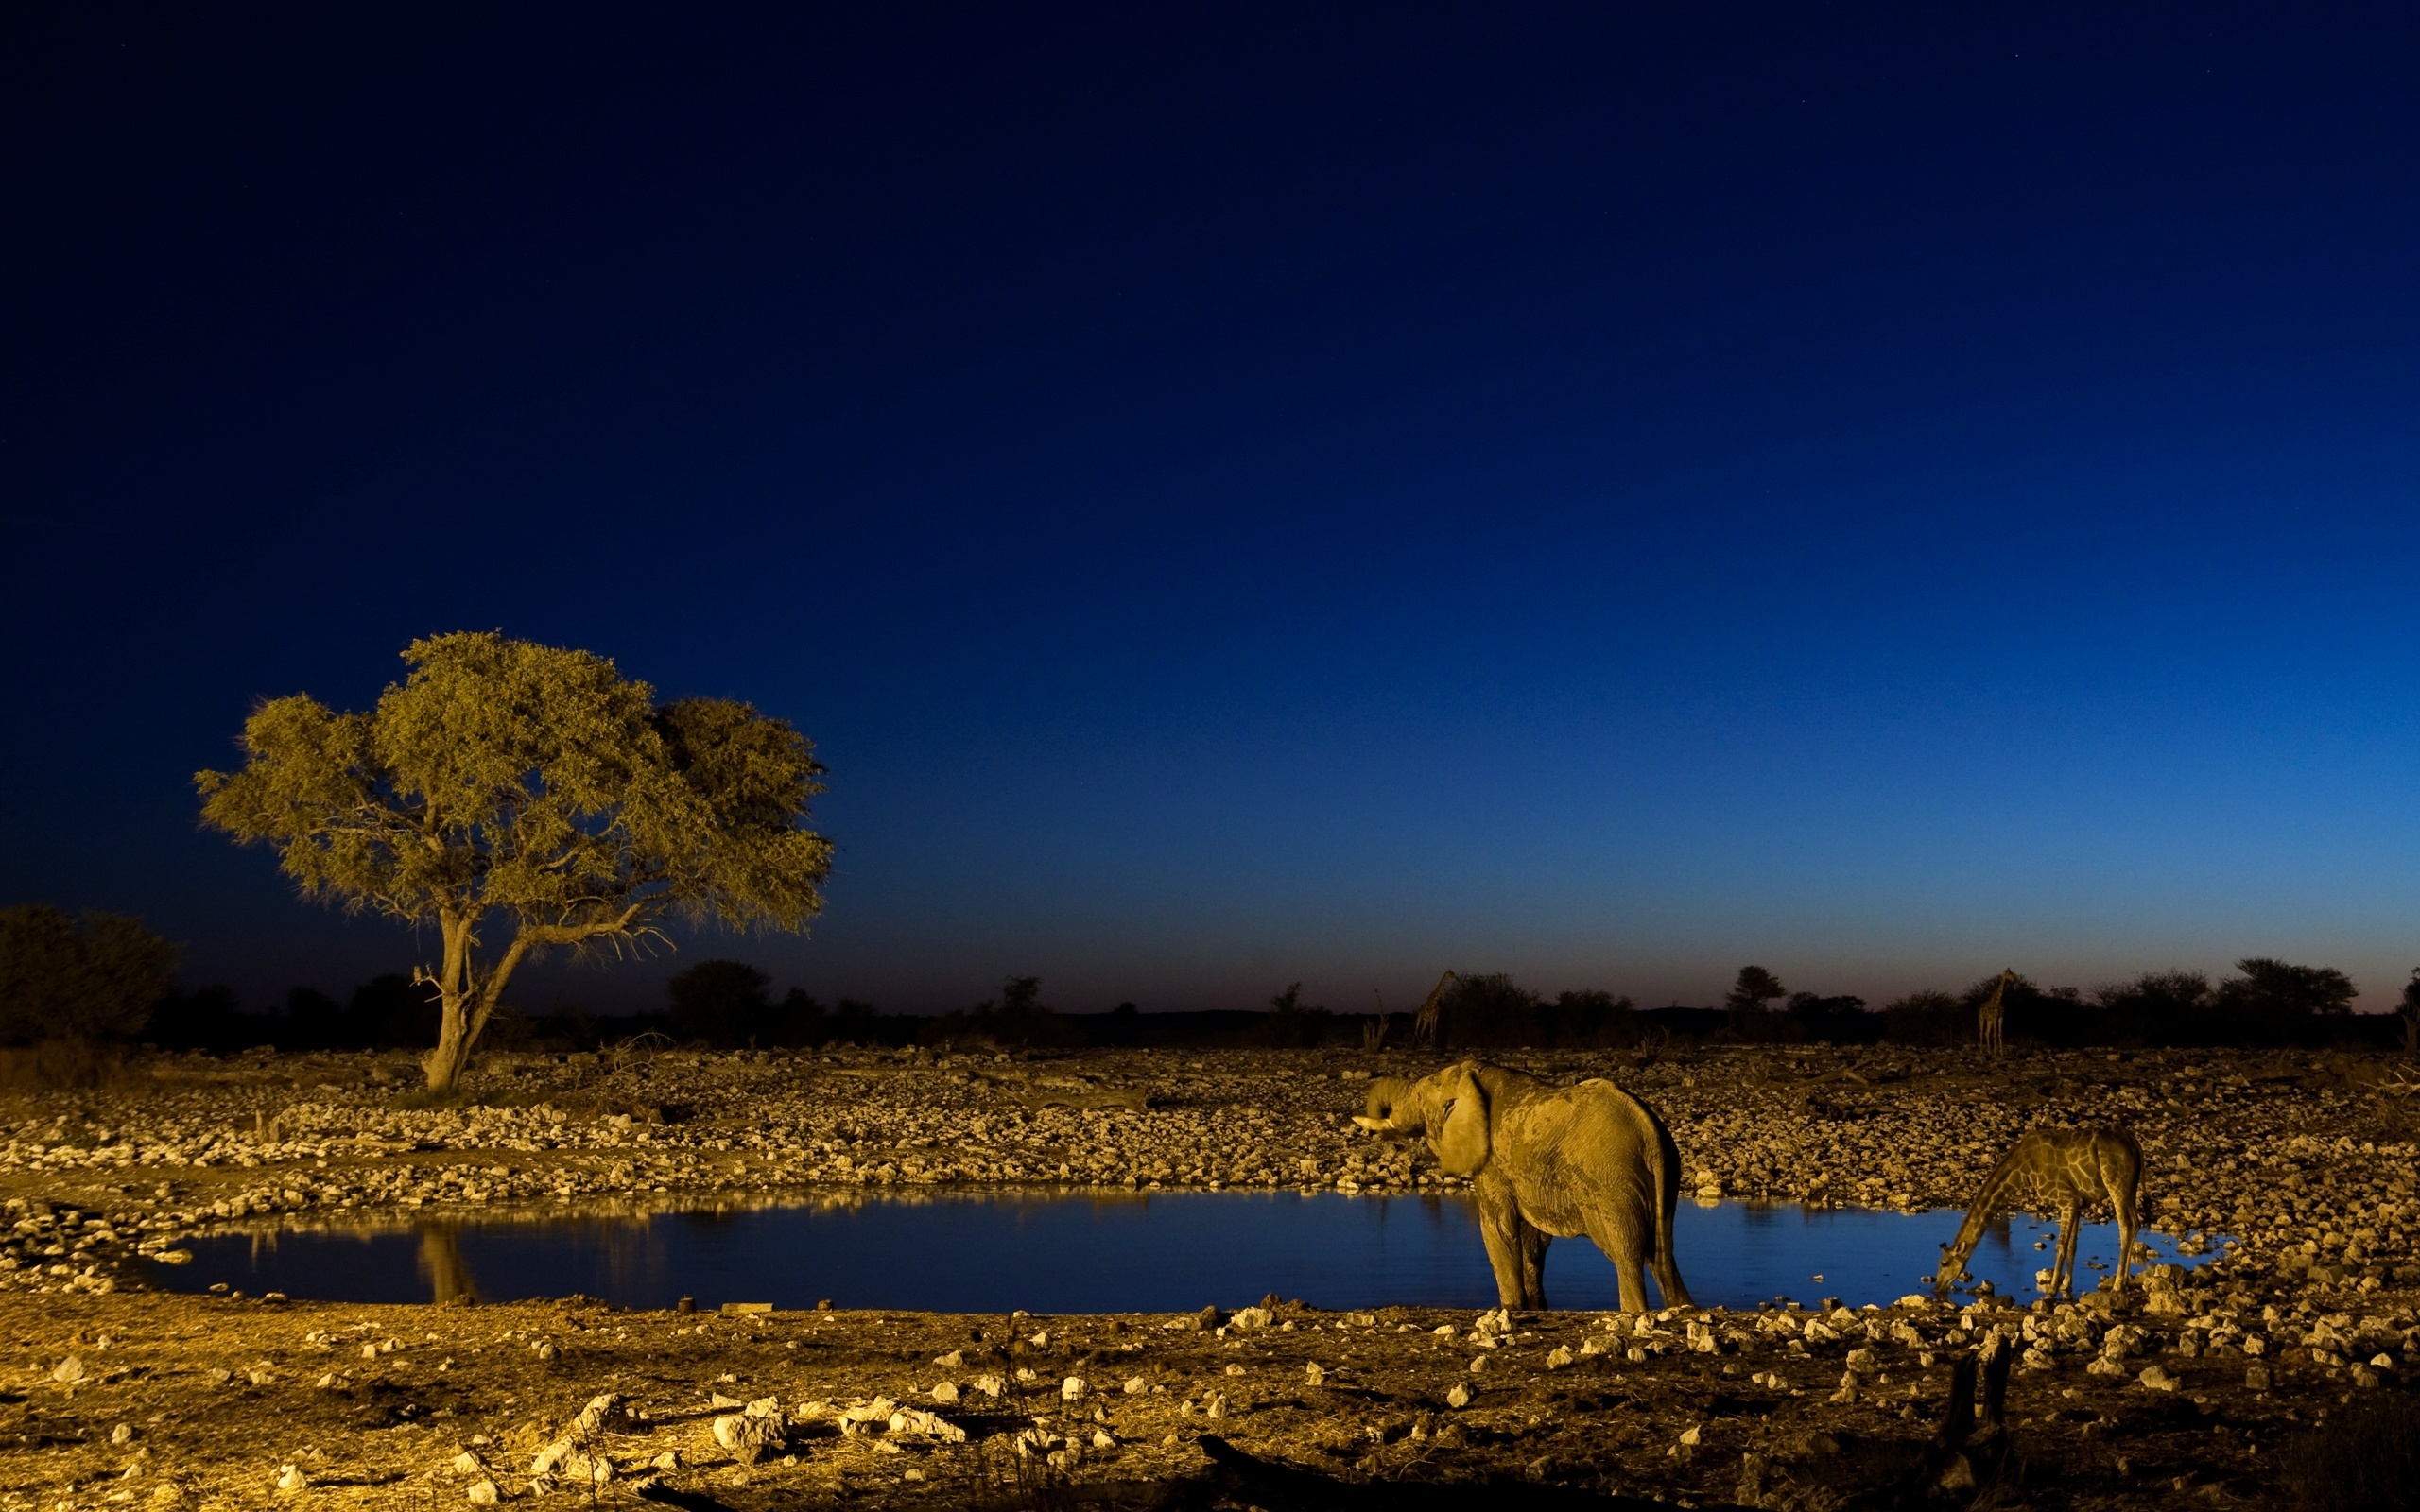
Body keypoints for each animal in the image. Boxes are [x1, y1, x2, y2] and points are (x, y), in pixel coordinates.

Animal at [1355, 1055, 1694, 1315]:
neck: (1472, 1076)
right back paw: (1682, 1308)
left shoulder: (1492, 1163)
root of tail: (1649, 1131)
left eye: (1420, 1097)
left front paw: (1510, 1308)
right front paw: (1535, 1308)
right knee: (1662, 1254)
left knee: (1627, 1252)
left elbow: (1498, 1227)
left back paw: (1634, 1312)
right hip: (1666, 1177)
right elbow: (1533, 1240)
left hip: (1611, 1181)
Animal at [1936, 1122, 2149, 1297]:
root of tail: (2135, 1144)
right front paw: (2065, 1286)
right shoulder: (2078, 1202)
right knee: (2136, 1223)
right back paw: (2125, 1283)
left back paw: (2118, 1285)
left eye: (1944, 1262)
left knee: (2126, 1225)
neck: (2023, 1170)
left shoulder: (2066, 1199)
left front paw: (2052, 1289)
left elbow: (2060, 1245)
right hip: (2130, 1186)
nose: (1937, 1287)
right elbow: (2072, 1246)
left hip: (2116, 1183)